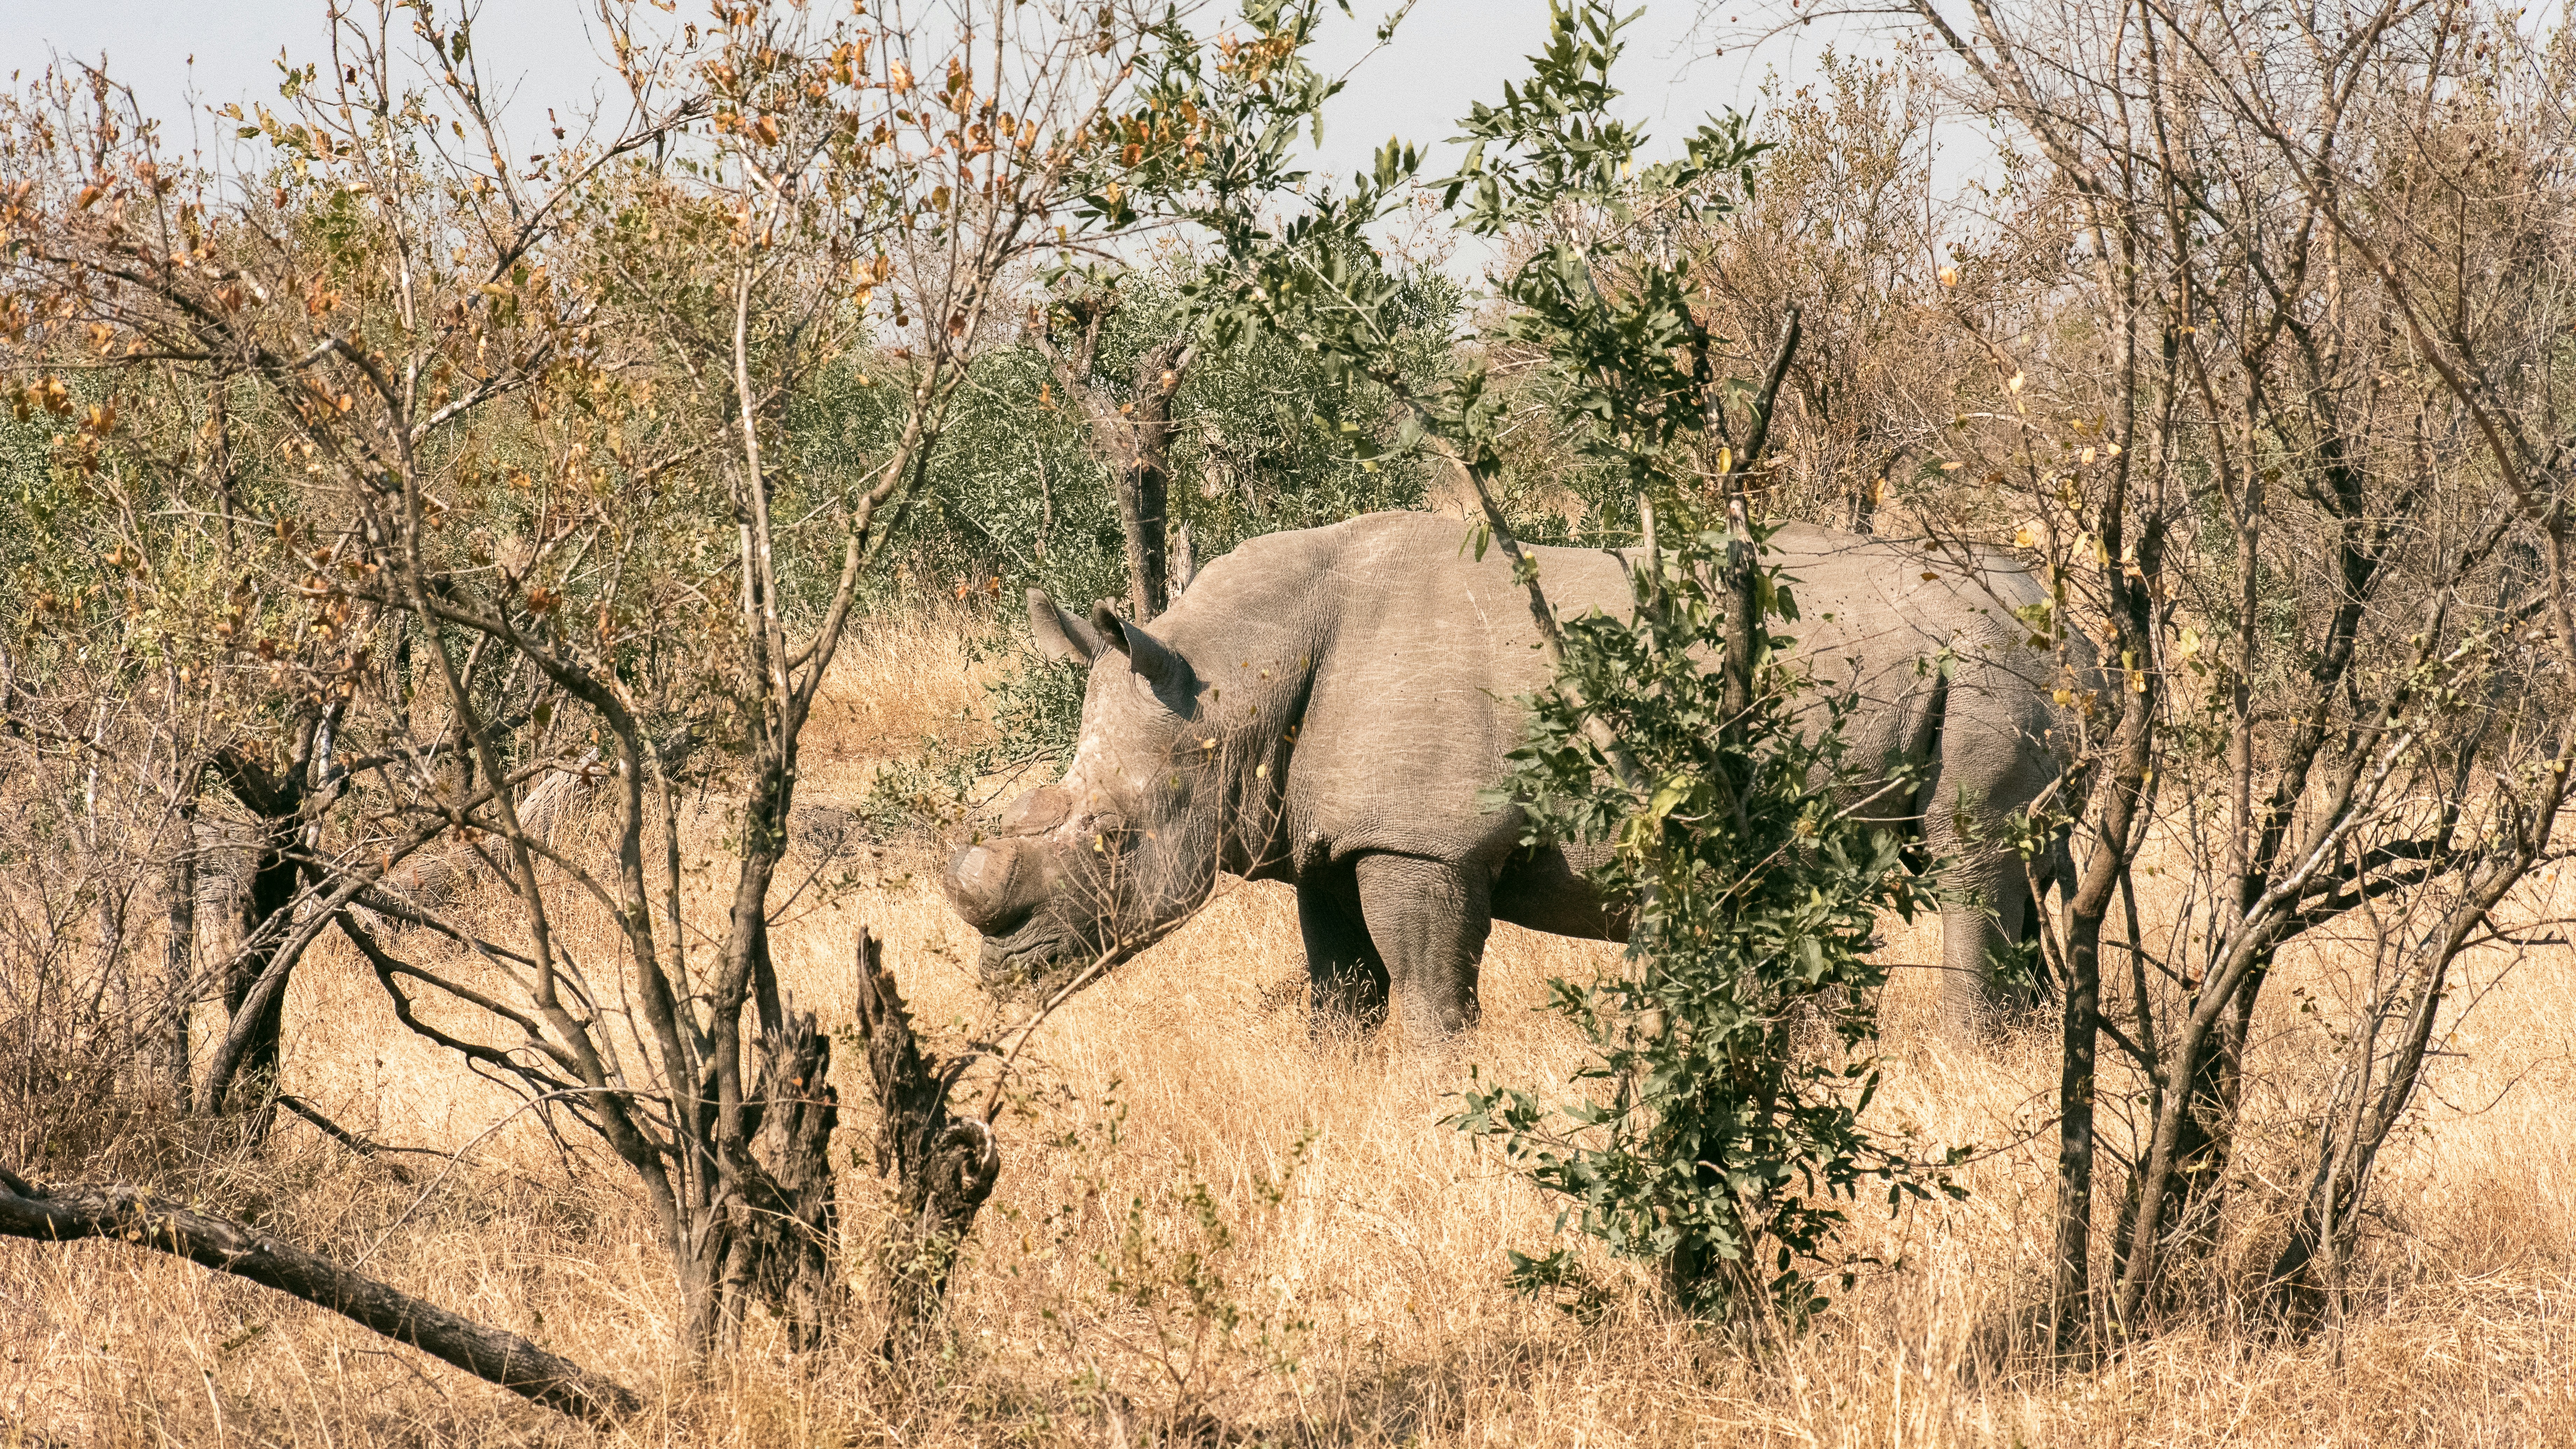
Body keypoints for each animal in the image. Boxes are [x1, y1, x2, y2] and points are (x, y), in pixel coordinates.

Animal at [943, 511, 2087, 1040]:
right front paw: (1338, 1079)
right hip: (2009, 664)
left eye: (1108, 837)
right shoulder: (1326, 832)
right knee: (2028, 875)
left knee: (1969, 858)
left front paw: (1429, 1093)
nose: (998, 968)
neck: (1228, 684)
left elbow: (1424, 985)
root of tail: (2060, 616)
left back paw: (1962, 1048)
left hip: (1991, 663)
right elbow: (1341, 984)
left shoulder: (1424, 840)